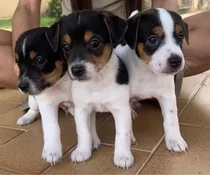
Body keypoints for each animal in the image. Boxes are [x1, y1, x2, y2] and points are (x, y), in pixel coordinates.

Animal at [14, 24, 100, 164]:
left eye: (40, 60)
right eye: (17, 63)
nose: (21, 86)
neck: (62, 82)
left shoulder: (85, 104)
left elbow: (87, 125)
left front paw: (91, 140)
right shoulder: (46, 104)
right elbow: (52, 128)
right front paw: (52, 151)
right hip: (34, 99)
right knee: (33, 108)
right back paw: (26, 118)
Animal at [58, 10, 135, 168]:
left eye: (95, 43)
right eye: (65, 47)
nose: (76, 70)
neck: (97, 81)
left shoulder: (121, 109)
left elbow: (122, 133)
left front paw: (123, 155)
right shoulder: (82, 110)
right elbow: (83, 132)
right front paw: (83, 151)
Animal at [115, 8, 189, 152]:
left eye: (180, 36)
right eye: (153, 39)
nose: (176, 61)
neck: (147, 70)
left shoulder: (167, 96)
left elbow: (171, 119)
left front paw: (174, 140)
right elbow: (125, 121)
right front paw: (129, 137)